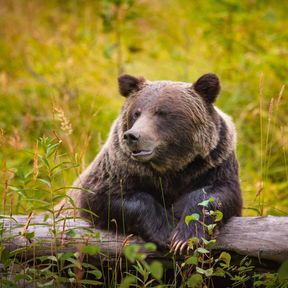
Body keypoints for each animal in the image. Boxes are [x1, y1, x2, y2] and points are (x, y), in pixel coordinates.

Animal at [59, 74, 242, 254]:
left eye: (162, 112)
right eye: (136, 113)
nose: (132, 136)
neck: (171, 167)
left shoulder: (212, 164)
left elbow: (216, 194)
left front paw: (184, 238)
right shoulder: (121, 168)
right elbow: (105, 196)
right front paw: (165, 231)